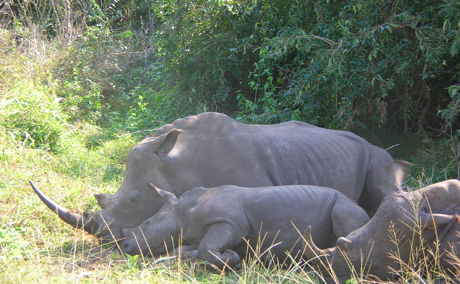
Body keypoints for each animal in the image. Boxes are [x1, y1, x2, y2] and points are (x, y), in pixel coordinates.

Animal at [120, 184, 368, 268]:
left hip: (344, 205)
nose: (125, 246)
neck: (182, 210)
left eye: (147, 223)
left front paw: (233, 259)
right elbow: (185, 249)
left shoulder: (230, 223)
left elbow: (207, 248)